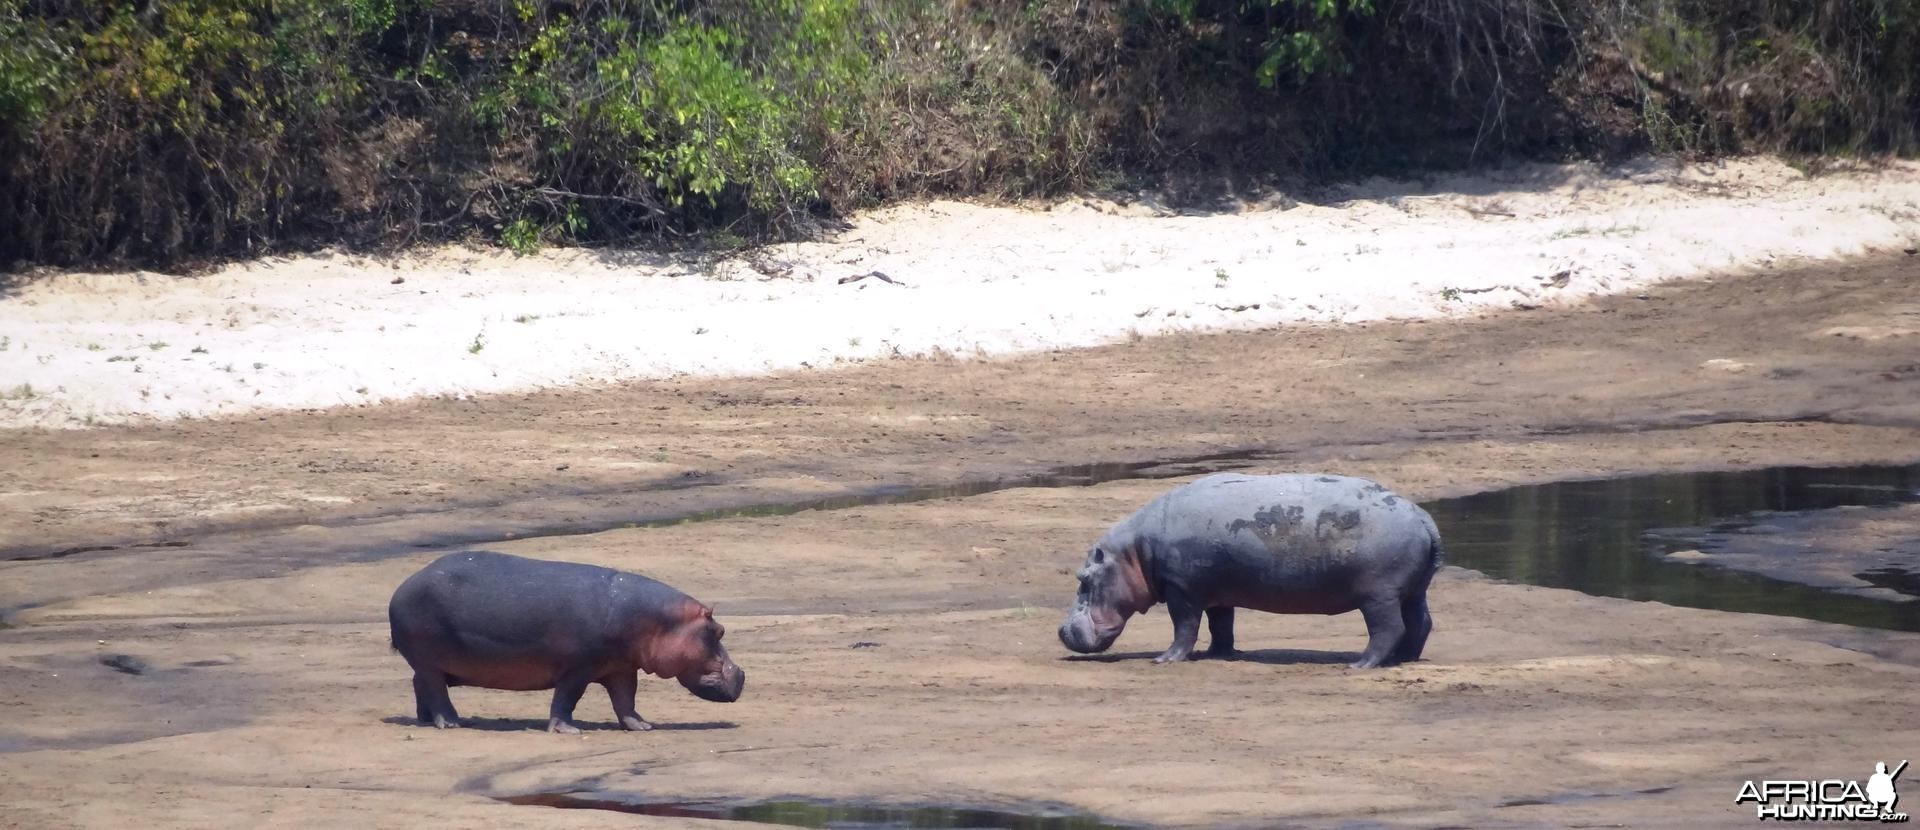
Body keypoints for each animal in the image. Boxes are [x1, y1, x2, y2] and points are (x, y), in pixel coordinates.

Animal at [385, 549, 744, 733]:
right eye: (719, 631)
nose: (741, 674)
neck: (660, 621)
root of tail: (402, 586)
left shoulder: (621, 668)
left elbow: (626, 700)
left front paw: (643, 726)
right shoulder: (578, 668)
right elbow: (567, 698)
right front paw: (569, 730)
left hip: (428, 662)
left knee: (420, 685)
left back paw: (426, 720)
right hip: (428, 659)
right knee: (435, 689)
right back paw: (452, 723)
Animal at [1067, 472, 1443, 668]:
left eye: (1083, 580)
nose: (1061, 631)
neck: (1135, 552)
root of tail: (1422, 515)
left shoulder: (1182, 590)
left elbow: (1184, 626)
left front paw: (1165, 660)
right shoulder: (1217, 594)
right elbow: (1221, 625)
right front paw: (1219, 655)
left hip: (1379, 596)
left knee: (1387, 629)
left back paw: (1360, 665)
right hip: (1413, 591)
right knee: (1420, 623)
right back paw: (1405, 659)